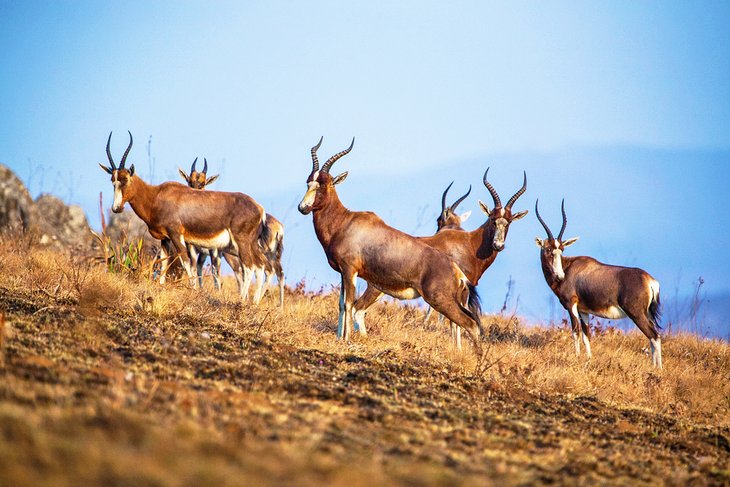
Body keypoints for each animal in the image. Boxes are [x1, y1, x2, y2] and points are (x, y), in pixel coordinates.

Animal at [97, 130, 268, 302]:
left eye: (125, 179)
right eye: (113, 181)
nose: (116, 208)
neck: (157, 195)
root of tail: (259, 208)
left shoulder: (176, 235)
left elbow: (186, 262)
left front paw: (193, 291)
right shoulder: (165, 239)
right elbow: (164, 262)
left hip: (241, 242)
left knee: (249, 266)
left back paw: (242, 300)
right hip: (251, 244)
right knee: (260, 265)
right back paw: (254, 302)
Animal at [178, 158, 286, 306]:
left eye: (203, 184)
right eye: (189, 181)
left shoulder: (213, 250)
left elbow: (213, 271)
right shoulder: (197, 249)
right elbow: (197, 268)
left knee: (260, 269)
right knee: (273, 271)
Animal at [298, 138, 480, 350]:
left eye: (323, 185)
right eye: (308, 183)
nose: (303, 208)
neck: (346, 221)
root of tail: (458, 272)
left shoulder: (350, 270)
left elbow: (349, 304)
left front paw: (346, 339)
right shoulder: (343, 273)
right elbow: (341, 304)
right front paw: (338, 338)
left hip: (439, 299)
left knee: (470, 324)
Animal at [352, 170, 524, 348]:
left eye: (509, 222)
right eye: (492, 219)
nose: (498, 245)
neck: (469, 243)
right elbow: (454, 322)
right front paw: (457, 349)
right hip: (376, 287)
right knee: (358, 308)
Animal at [532, 199, 664, 370]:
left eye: (561, 250)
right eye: (548, 249)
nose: (560, 276)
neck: (569, 267)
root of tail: (650, 280)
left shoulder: (571, 305)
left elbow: (576, 331)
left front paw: (576, 357)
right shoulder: (583, 311)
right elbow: (586, 335)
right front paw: (588, 359)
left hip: (636, 314)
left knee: (654, 335)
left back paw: (658, 369)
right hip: (647, 313)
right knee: (653, 337)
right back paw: (653, 368)